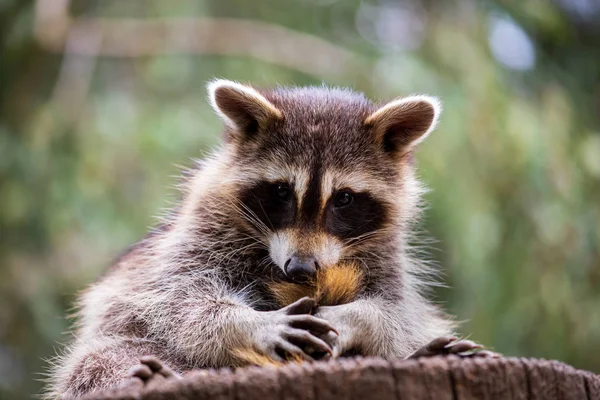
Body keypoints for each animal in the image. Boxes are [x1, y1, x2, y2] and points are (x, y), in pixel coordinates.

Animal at [45, 79, 492, 398]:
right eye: (280, 192)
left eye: (344, 198)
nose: (301, 268)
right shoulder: (203, 224)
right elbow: (181, 299)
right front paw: (249, 325)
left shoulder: (385, 247)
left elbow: (397, 312)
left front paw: (352, 318)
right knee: (100, 359)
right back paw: (144, 373)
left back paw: (425, 353)